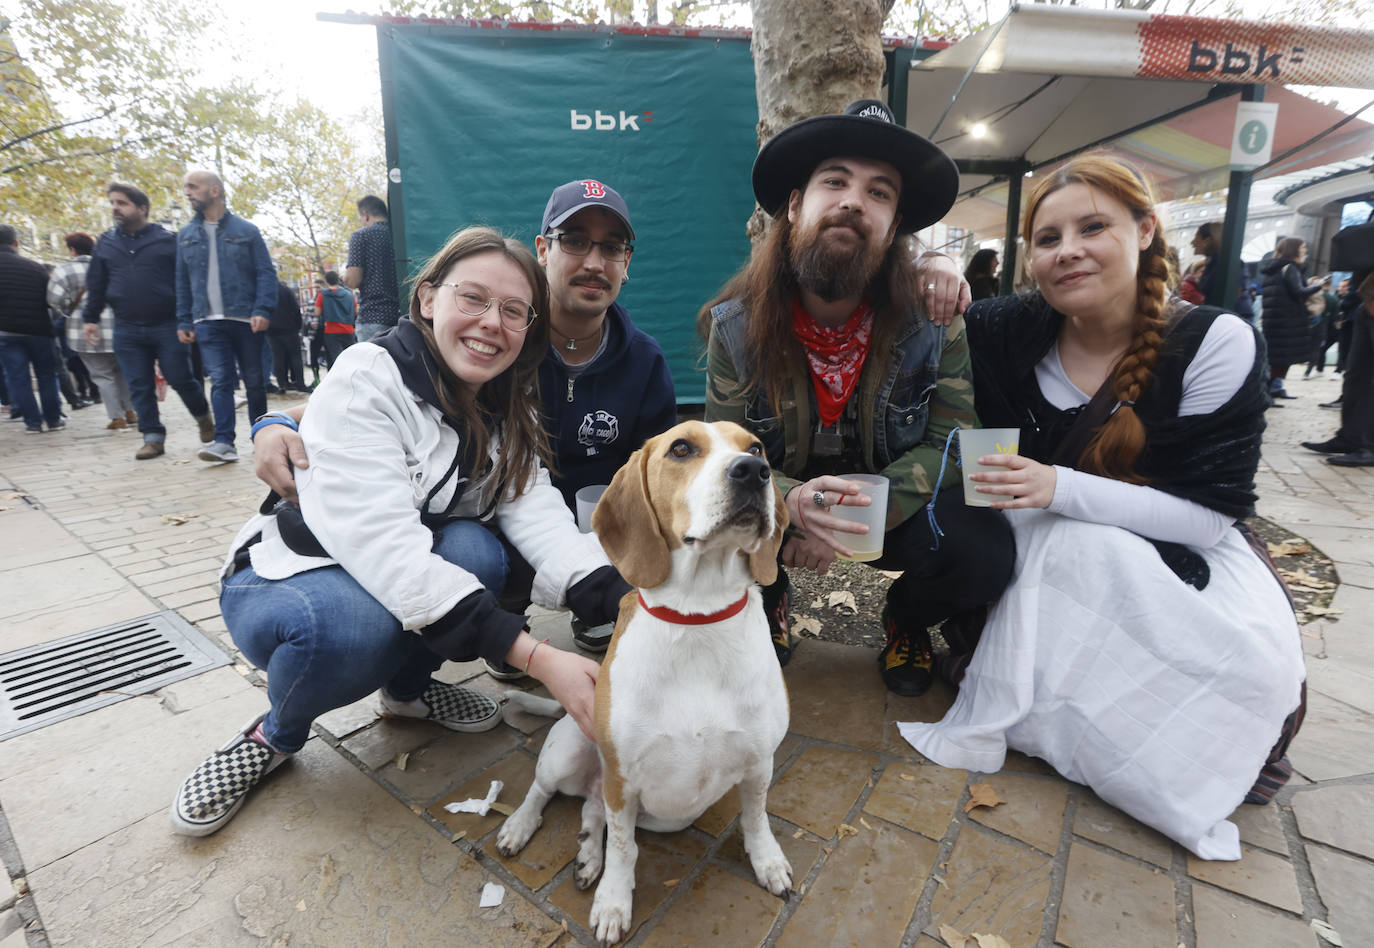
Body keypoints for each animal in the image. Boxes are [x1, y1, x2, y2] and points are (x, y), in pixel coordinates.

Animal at [500, 420, 791, 939]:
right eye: (682, 448)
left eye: (756, 448)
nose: (752, 471)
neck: (698, 617)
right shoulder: (622, 778)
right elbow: (624, 848)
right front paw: (614, 901)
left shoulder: (759, 763)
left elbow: (756, 820)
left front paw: (768, 862)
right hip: (567, 756)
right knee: (544, 792)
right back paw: (521, 825)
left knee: (591, 809)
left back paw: (586, 856)